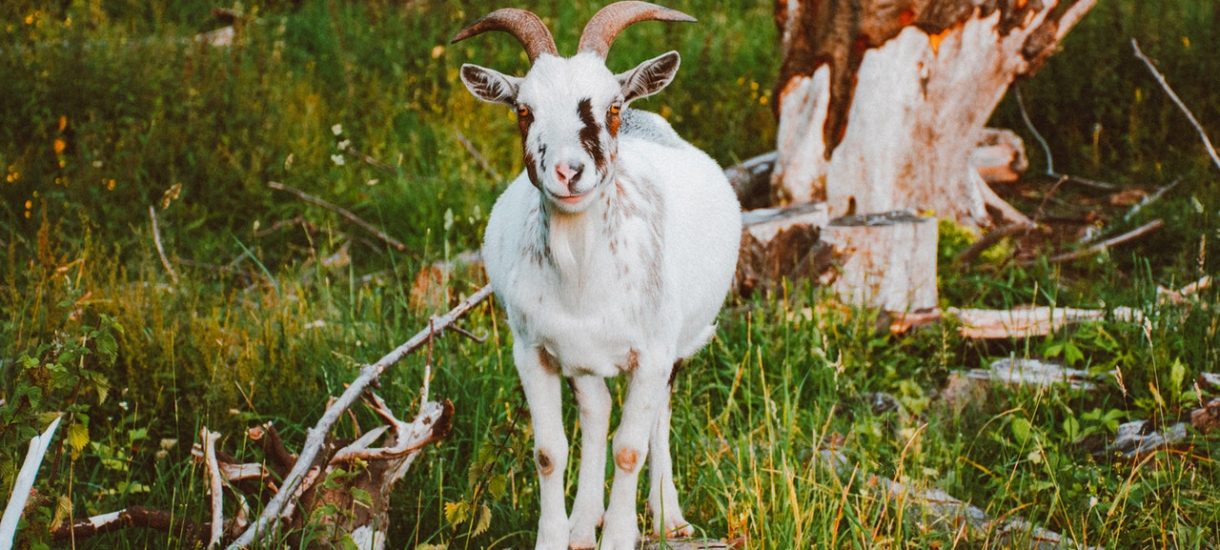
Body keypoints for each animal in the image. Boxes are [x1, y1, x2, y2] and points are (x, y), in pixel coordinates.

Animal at [453, 3, 736, 546]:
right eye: (524, 110)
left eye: (611, 107)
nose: (568, 171)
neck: (583, 281)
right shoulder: (533, 351)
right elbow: (549, 452)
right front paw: (557, 536)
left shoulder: (652, 352)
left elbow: (630, 448)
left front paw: (623, 535)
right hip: (581, 360)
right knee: (596, 409)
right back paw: (584, 524)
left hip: (676, 345)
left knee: (658, 418)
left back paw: (669, 517)